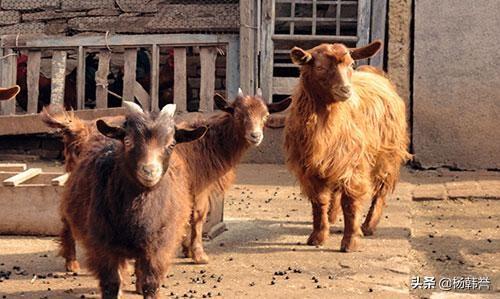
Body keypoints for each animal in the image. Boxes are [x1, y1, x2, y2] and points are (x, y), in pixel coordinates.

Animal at [56, 102, 207, 298]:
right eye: (128, 141)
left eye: (172, 144)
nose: (149, 171)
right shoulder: (103, 244)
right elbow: (111, 283)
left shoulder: (158, 244)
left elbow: (152, 282)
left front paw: (145, 287)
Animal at [177, 91, 292, 264]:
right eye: (238, 114)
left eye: (266, 115)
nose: (255, 136)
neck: (208, 142)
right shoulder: (201, 185)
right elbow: (198, 215)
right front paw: (199, 255)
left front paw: (187, 250)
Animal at [286, 41, 410, 253]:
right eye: (319, 67)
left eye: (351, 64)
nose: (345, 90)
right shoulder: (311, 166)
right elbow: (319, 201)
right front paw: (318, 236)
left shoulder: (353, 164)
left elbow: (350, 203)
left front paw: (350, 242)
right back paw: (332, 217)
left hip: (387, 155)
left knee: (381, 190)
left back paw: (368, 226)